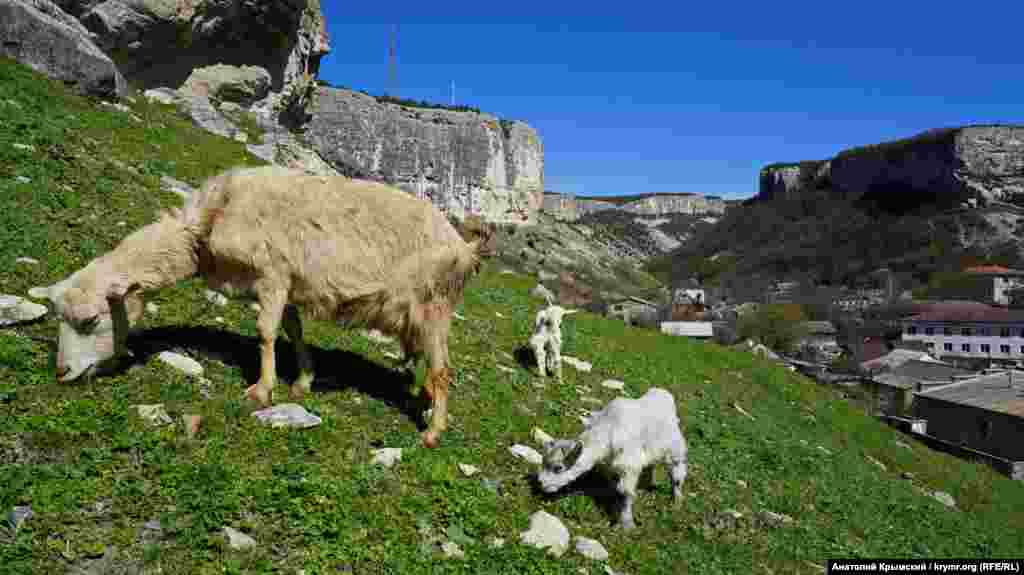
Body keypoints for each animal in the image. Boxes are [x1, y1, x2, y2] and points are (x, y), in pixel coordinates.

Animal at [536, 384, 688, 527]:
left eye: (558, 467)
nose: (541, 483)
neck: (609, 429)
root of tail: (663, 392)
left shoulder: (629, 466)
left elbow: (625, 492)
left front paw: (626, 523)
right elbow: (615, 488)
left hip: (674, 449)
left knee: (677, 474)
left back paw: (677, 501)